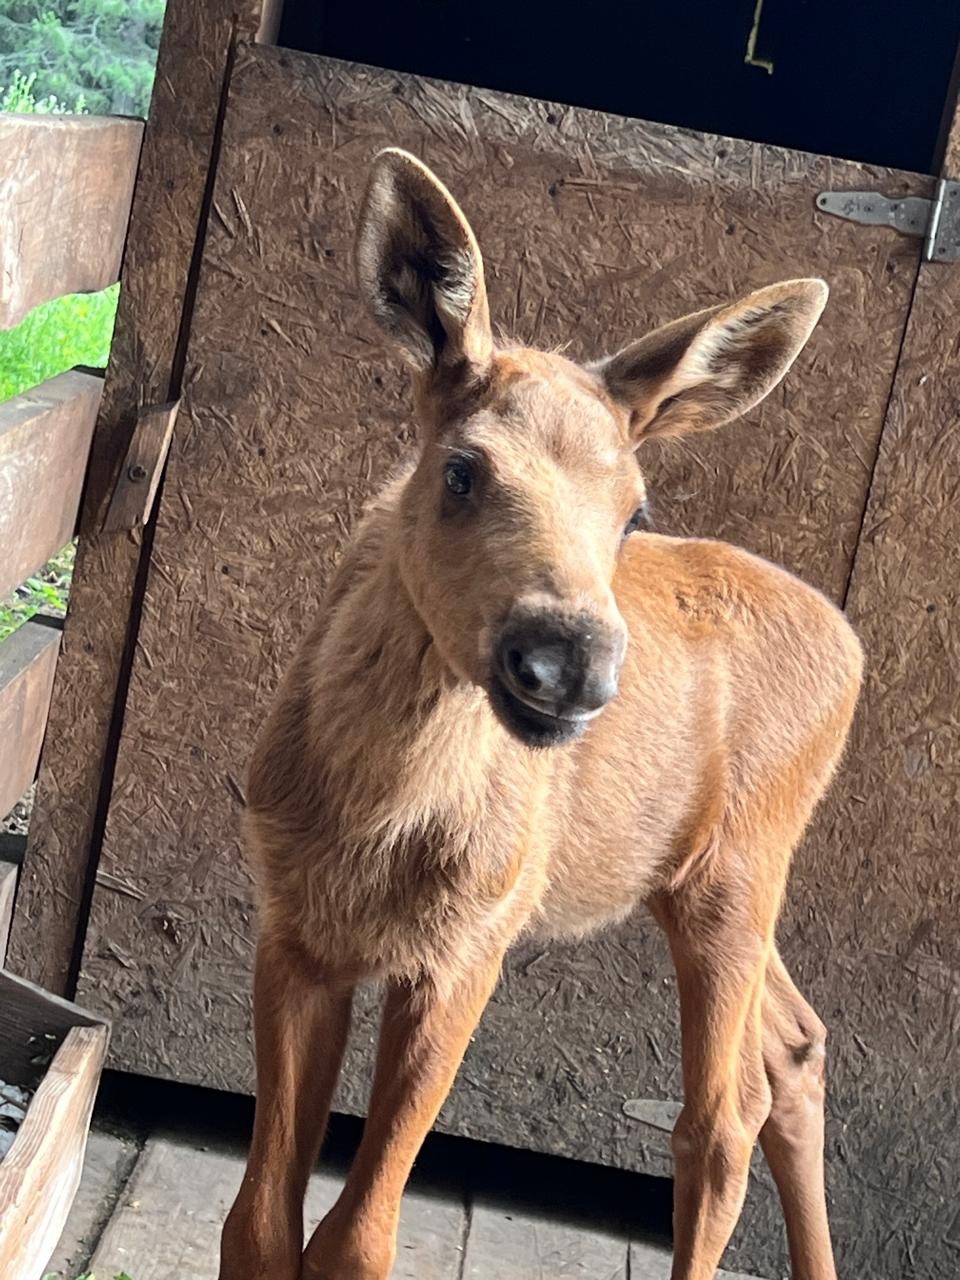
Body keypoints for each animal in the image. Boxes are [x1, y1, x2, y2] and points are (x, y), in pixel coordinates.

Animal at [220, 152, 865, 1280]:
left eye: (634, 509)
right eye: (461, 469)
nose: (566, 664)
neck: (375, 820)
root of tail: (857, 651)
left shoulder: (473, 940)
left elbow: (357, 1239)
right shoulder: (295, 928)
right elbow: (259, 1225)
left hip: (742, 870)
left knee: (719, 1116)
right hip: (697, 879)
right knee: (792, 1049)